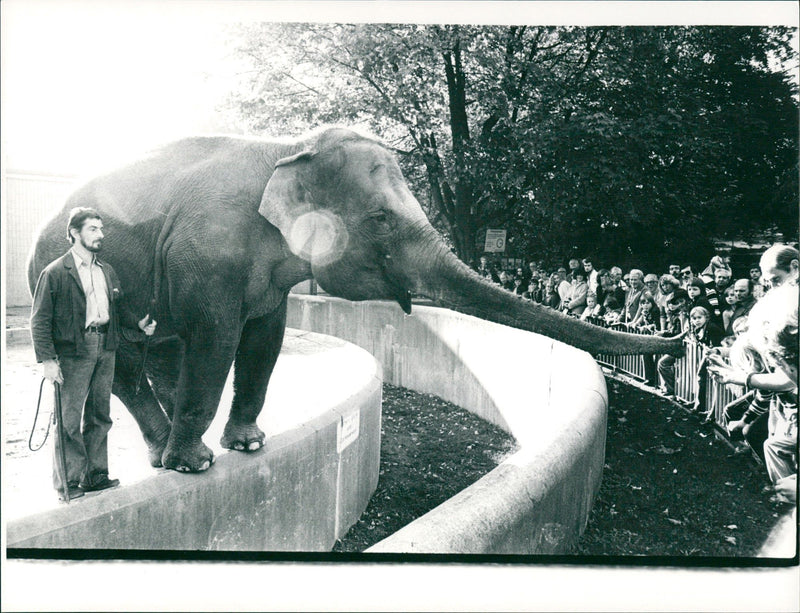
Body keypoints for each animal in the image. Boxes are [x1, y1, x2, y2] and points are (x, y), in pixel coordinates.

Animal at [28, 126, 684, 470]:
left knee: (154, 353)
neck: (284, 148)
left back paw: (161, 450)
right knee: (124, 363)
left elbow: (264, 339)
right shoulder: (209, 253)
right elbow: (216, 342)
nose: (678, 344)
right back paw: (171, 455)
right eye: (380, 220)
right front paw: (199, 465)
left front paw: (248, 445)